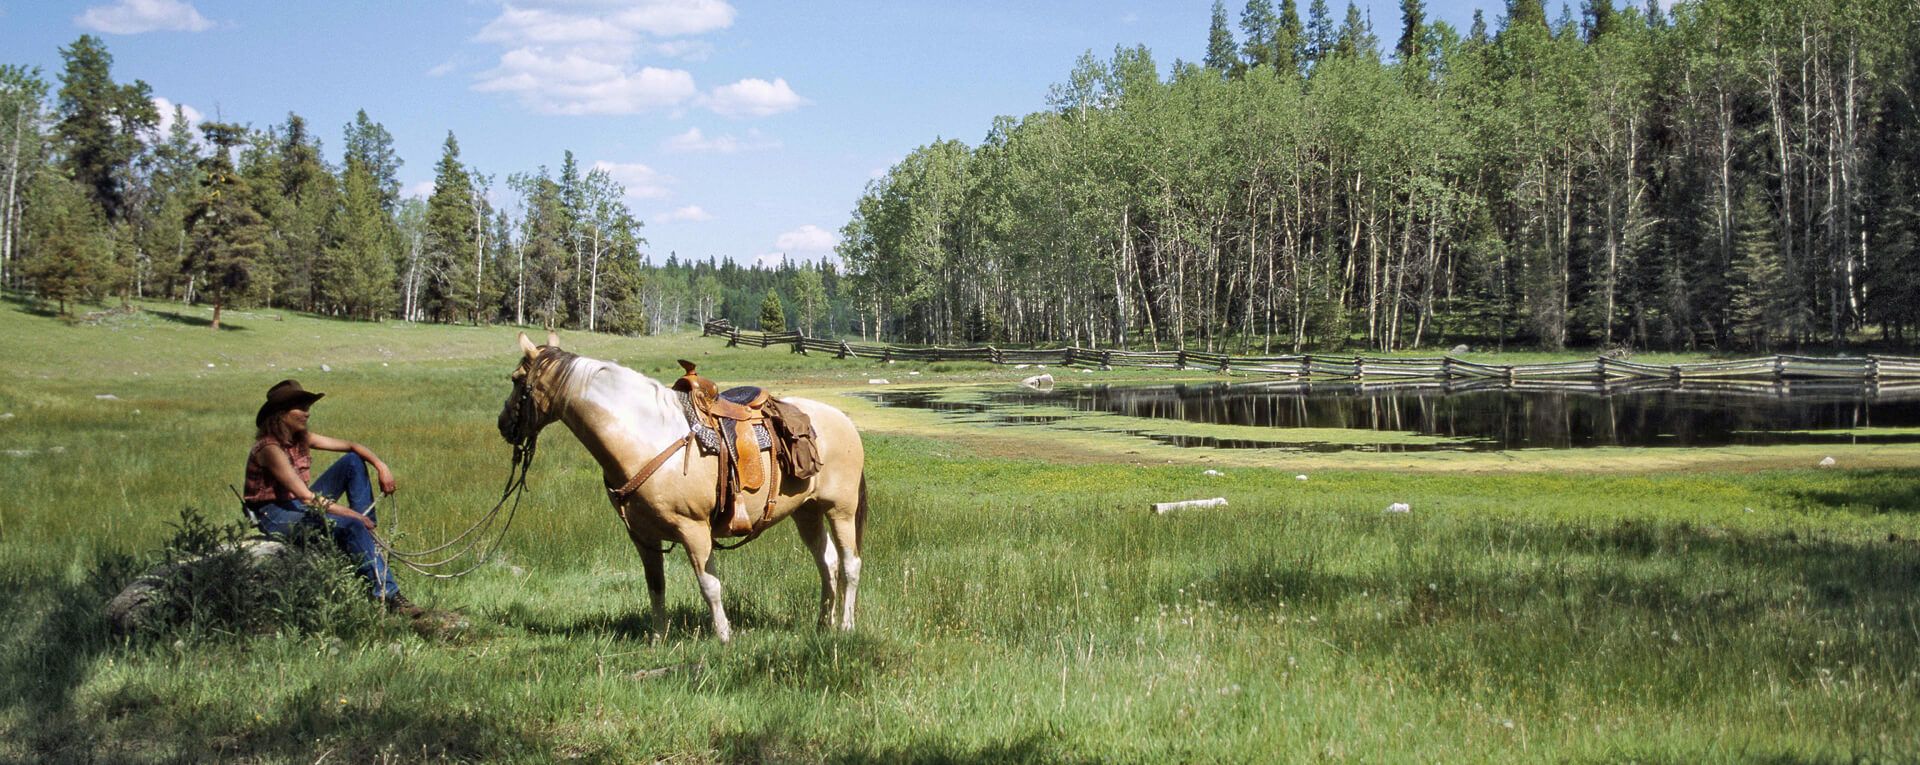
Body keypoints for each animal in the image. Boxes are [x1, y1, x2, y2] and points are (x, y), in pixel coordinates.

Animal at [503, 332, 879, 641]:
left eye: (517, 379)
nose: (503, 424)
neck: (648, 438)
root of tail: (844, 420)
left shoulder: (694, 529)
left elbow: (709, 585)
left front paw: (724, 638)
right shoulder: (643, 536)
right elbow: (656, 586)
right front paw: (657, 641)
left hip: (840, 510)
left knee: (850, 564)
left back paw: (845, 626)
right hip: (807, 513)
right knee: (827, 563)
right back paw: (823, 624)